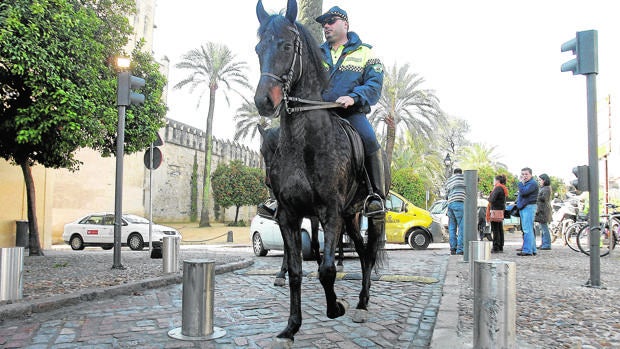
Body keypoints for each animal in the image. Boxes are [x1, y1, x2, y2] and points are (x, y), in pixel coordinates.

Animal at [253, 0, 388, 342]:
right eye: (259, 48)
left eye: (287, 46)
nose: (264, 101)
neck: (304, 143)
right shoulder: (290, 215)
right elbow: (297, 270)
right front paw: (292, 325)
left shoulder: (329, 212)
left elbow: (325, 269)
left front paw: (336, 306)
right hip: (350, 215)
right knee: (362, 252)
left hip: (367, 214)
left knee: (369, 253)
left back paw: (362, 303)